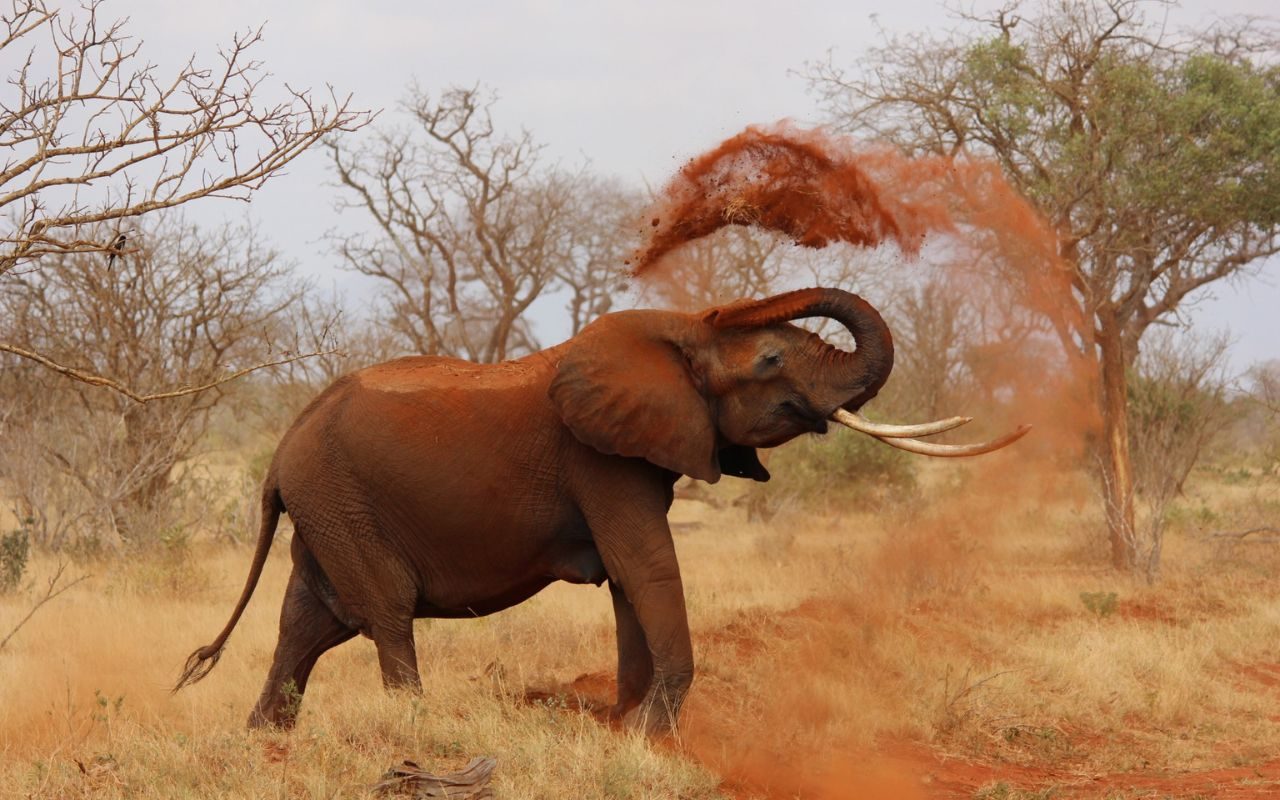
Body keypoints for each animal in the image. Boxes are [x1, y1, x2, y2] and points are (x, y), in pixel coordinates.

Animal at [175, 285, 1024, 732]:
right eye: (773, 359)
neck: (676, 334)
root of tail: (282, 449)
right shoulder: (600, 459)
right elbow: (645, 564)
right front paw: (651, 731)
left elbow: (628, 579)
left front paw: (626, 724)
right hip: (341, 501)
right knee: (382, 612)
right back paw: (414, 728)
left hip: (327, 507)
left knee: (309, 622)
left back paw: (266, 742)